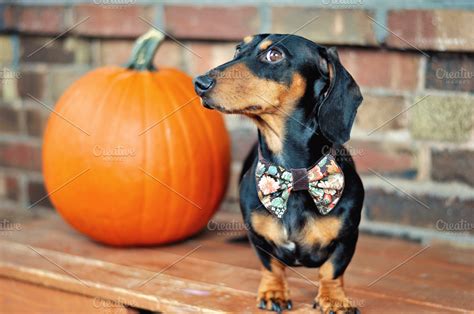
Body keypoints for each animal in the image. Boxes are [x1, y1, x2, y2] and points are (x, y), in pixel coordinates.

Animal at [193, 34, 362, 314]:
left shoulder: (347, 237)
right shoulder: (258, 238)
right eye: (238, 49)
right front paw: (274, 292)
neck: (294, 176)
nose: (199, 83)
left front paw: (335, 299)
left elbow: (331, 270)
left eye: (274, 55)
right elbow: (271, 266)